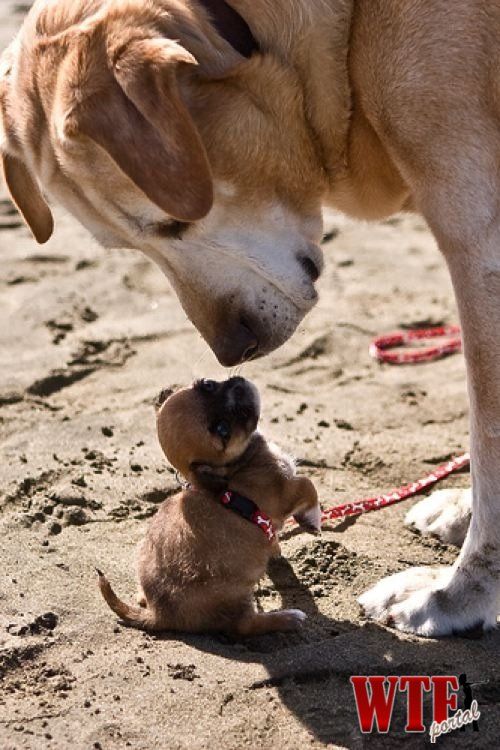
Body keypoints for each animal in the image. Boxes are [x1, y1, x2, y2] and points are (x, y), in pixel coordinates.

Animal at [97, 378, 318, 636]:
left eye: (208, 385)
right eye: (223, 430)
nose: (239, 387)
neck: (236, 466)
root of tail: (159, 614)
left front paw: (276, 548)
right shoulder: (287, 489)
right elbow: (308, 485)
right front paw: (313, 520)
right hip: (237, 597)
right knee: (244, 625)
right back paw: (287, 618)